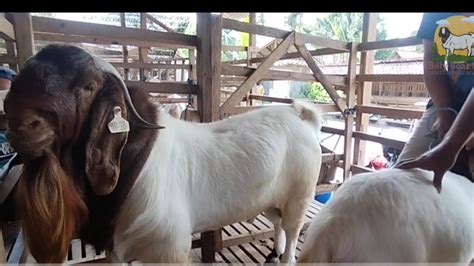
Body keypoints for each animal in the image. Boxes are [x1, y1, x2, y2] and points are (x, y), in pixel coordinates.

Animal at [109, 100, 322, 264]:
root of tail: (301, 115)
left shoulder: (168, 243)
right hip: (270, 198)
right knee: (278, 223)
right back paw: (275, 252)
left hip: (299, 194)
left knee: (292, 230)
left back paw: (285, 258)